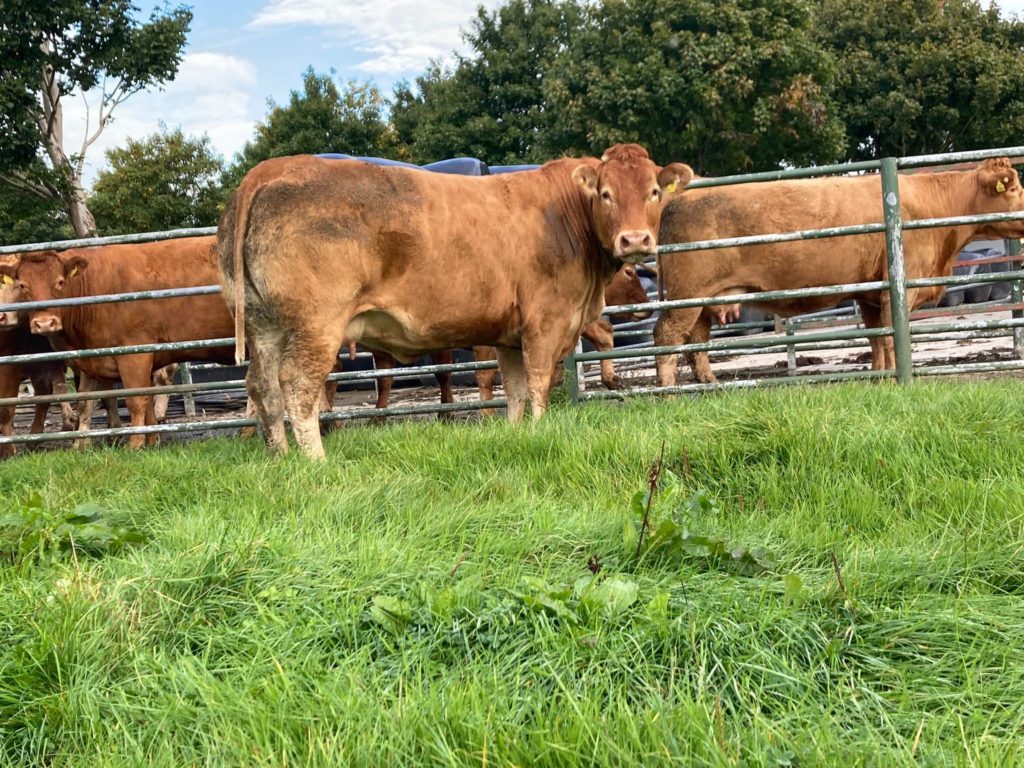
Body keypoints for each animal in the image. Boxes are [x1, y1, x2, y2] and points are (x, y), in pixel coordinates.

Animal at [0, 236, 236, 449]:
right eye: (23, 285)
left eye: (59, 281)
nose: (44, 323)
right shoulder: (90, 359)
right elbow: (86, 402)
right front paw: (80, 446)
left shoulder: (134, 354)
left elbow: (136, 400)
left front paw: (136, 444)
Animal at [654, 157, 1024, 386]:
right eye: (1014, 189)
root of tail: (679, 197)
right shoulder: (896, 290)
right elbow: (891, 337)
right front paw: (895, 377)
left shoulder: (870, 294)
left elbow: (876, 339)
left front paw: (879, 375)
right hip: (687, 292)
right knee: (667, 335)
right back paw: (667, 391)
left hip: (702, 297)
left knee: (696, 340)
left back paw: (709, 383)